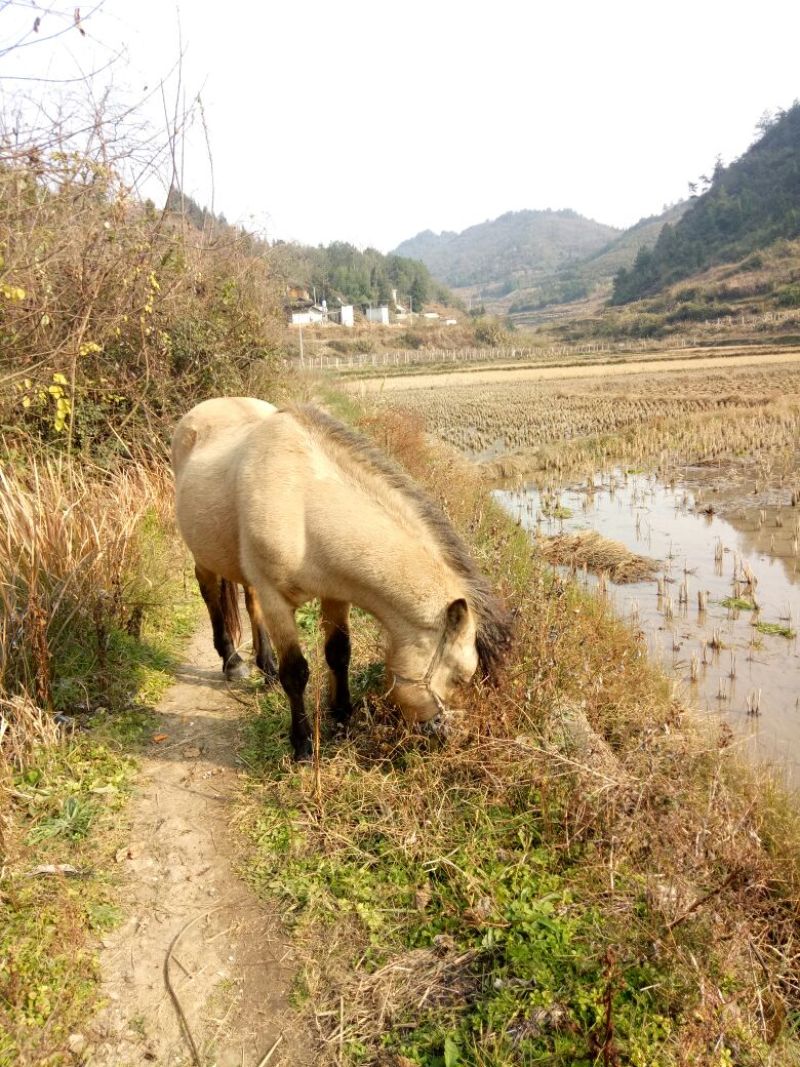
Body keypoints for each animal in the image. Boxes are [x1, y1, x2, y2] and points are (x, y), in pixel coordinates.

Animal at [171, 397, 512, 760]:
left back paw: (266, 667)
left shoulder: (335, 594)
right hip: (203, 558)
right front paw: (303, 744)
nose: (455, 737)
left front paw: (343, 716)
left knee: (250, 603)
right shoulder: (277, 602)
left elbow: (338, 653)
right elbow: (296, 672)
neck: (301, 503)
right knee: (210, 595)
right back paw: (233, 662)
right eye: (461, 678)